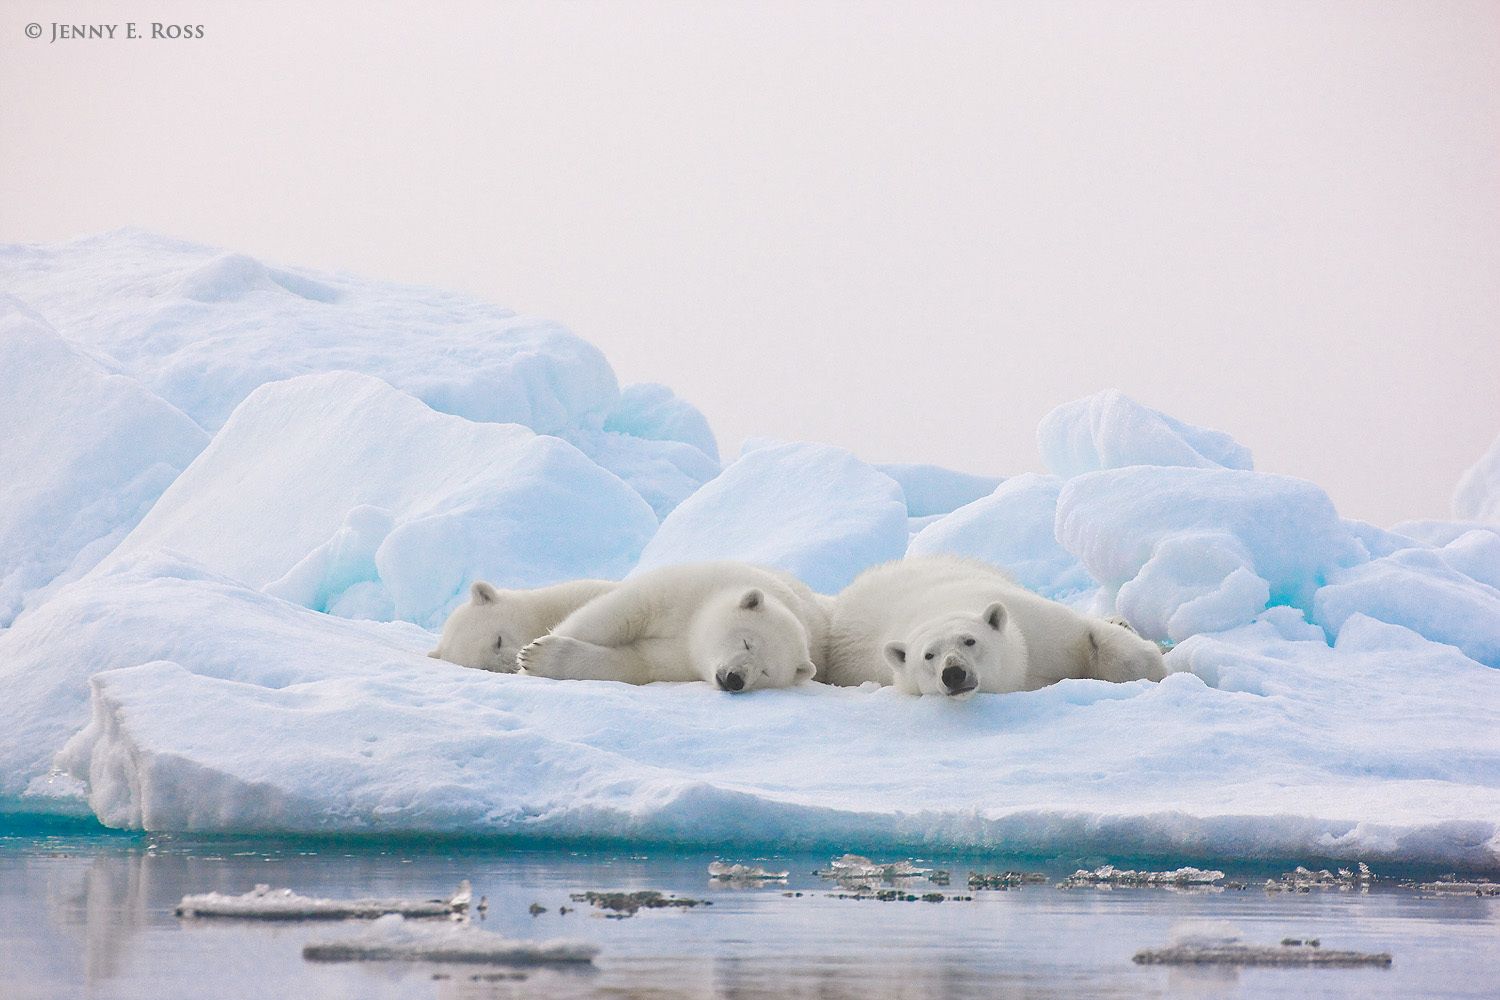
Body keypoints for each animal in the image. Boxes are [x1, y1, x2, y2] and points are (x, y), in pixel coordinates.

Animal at [517, 561, 829, 691]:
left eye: (766, 672)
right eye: (747, 642)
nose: (735, 679)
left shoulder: (677, 664)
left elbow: (634, 661)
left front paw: (540, 659)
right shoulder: (681, 591)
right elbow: (614, 614)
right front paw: (527, 660)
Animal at [827, 555, 1165, 696]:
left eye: (969, 640)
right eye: (928, 655)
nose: (953, 673)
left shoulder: (1035, 623)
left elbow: (1088, 635)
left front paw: (1151, 667)